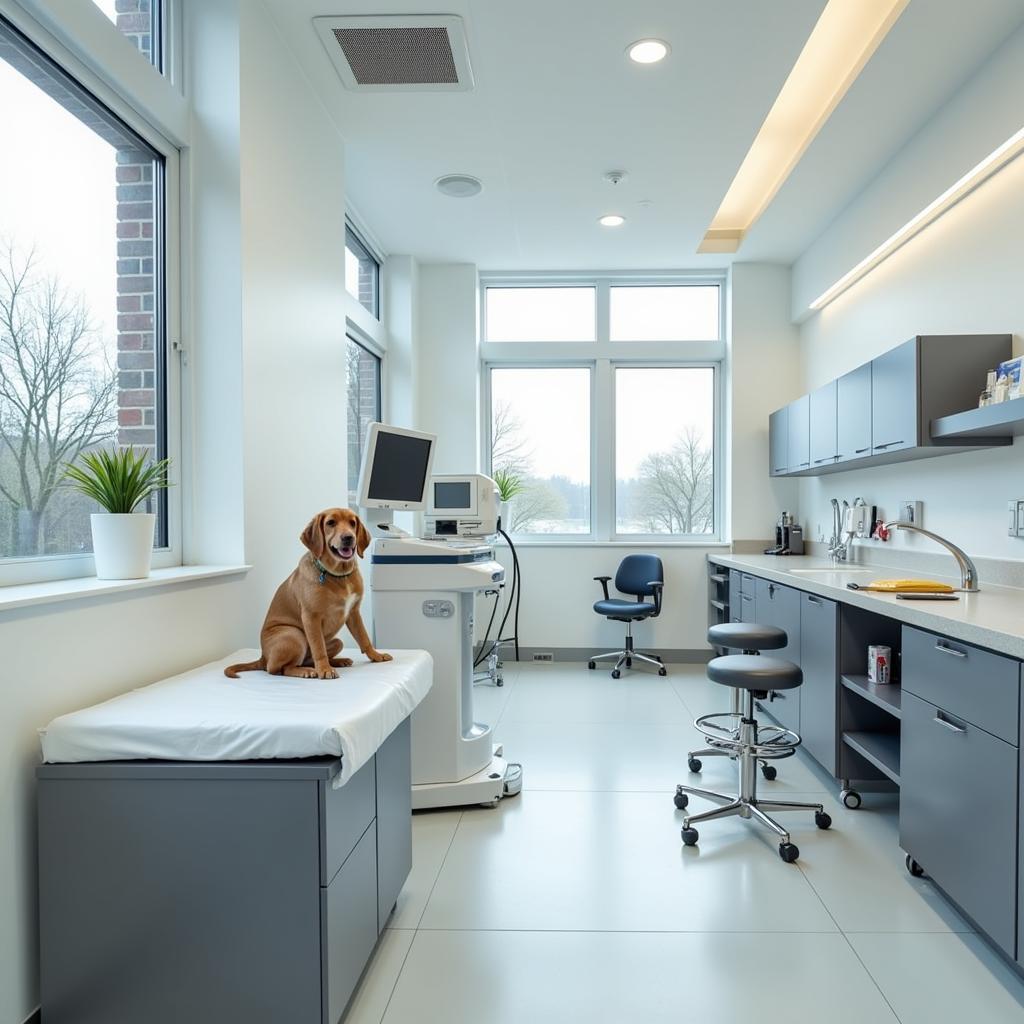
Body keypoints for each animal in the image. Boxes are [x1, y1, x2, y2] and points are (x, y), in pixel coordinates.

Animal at [224, 505, 391, 679]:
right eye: (331, 522)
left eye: (352, 523)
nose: (348, 537)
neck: (338, 576)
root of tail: (262, 657)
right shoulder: (311, 616)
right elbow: (319, 647)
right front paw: (324, 669)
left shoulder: (353, 612)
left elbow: (364, 637)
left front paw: (376, 655)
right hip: (294, 635)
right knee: (278, 669)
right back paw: (307, 671)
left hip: (336, 642)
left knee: (307, 660)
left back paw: (338, 661)